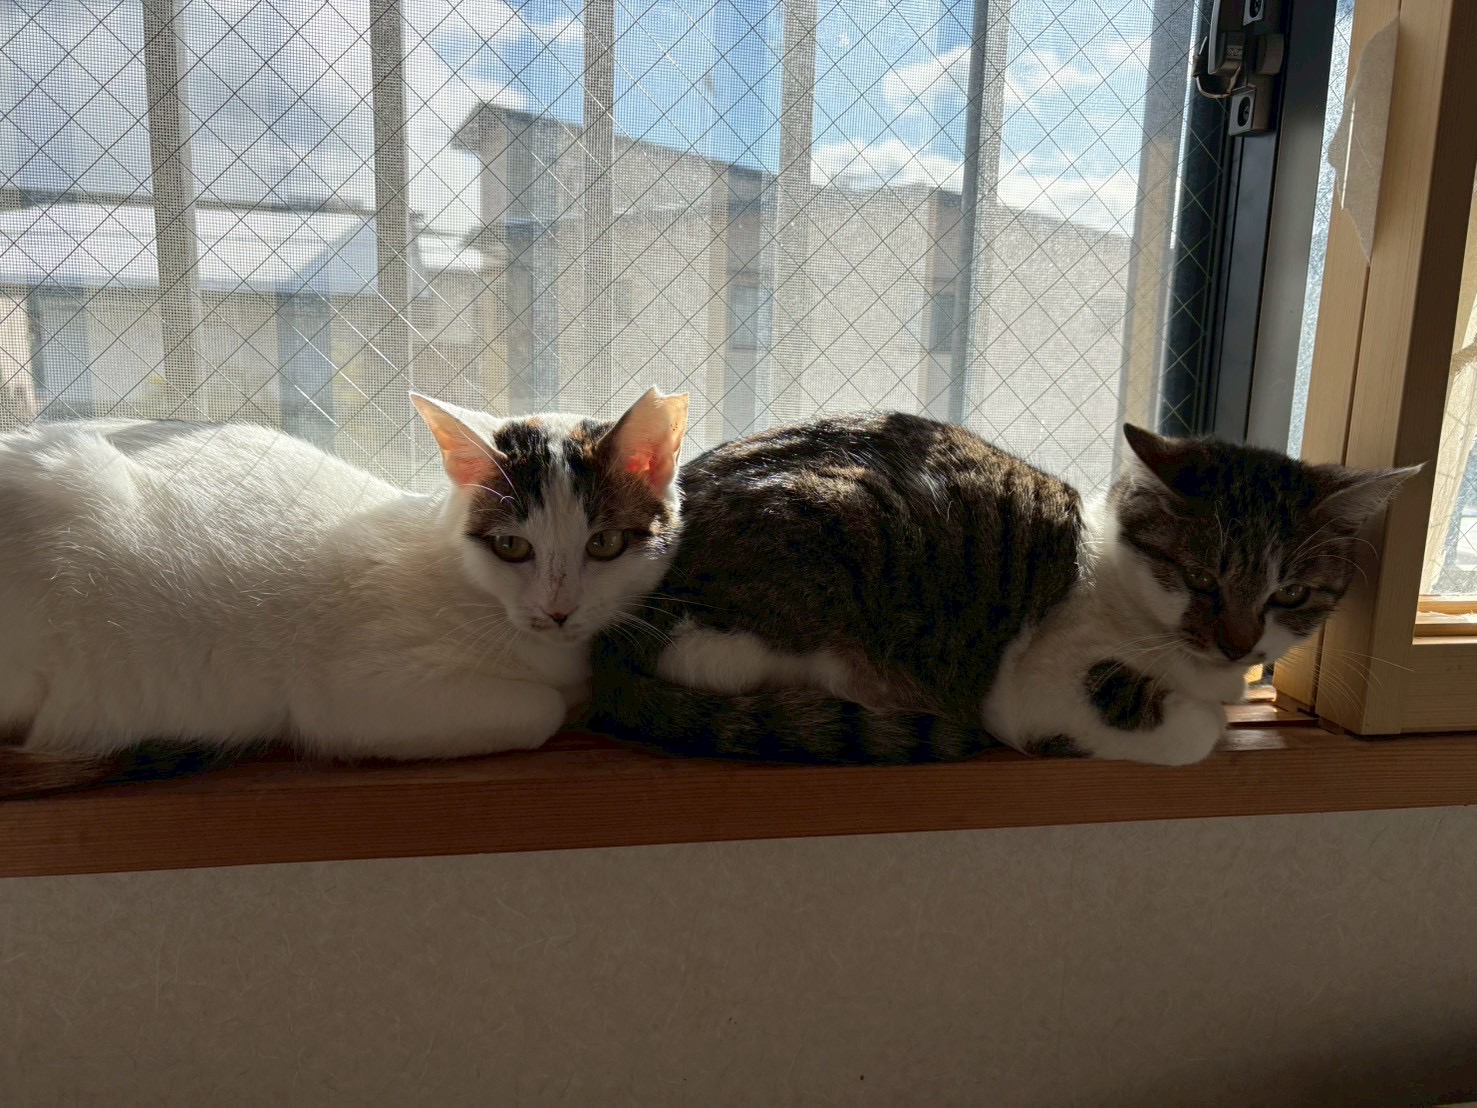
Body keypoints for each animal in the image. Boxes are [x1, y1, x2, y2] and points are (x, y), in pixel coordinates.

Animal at [0, 386, 689, 796]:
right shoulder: (352, 692)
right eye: (512, 547)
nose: (557, 609)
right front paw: (567, 699)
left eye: (604, 544)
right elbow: (542, 709)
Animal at [588, 414, 1417, 765]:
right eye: (1201, 578)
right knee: (706, 656)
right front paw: (1189, 718)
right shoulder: (1037, 683)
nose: (1238, 643)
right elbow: (1190, 729)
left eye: (1289, 595)